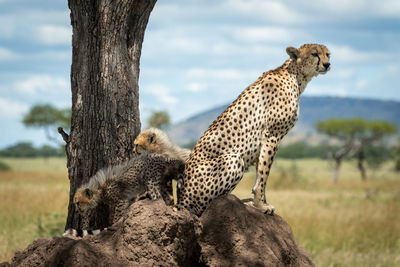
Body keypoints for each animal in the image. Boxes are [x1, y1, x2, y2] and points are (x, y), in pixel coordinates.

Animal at [178, 44, 332, 216]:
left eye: (328, 54)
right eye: (314, 54)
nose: (327, 64)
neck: (295, 76)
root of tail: (181, 198)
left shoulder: (266, 140)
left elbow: (261, 172)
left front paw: (260, 202)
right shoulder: (272, 135)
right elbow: (264, 175)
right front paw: (261, 206)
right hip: (233, 160)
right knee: (201, 208)